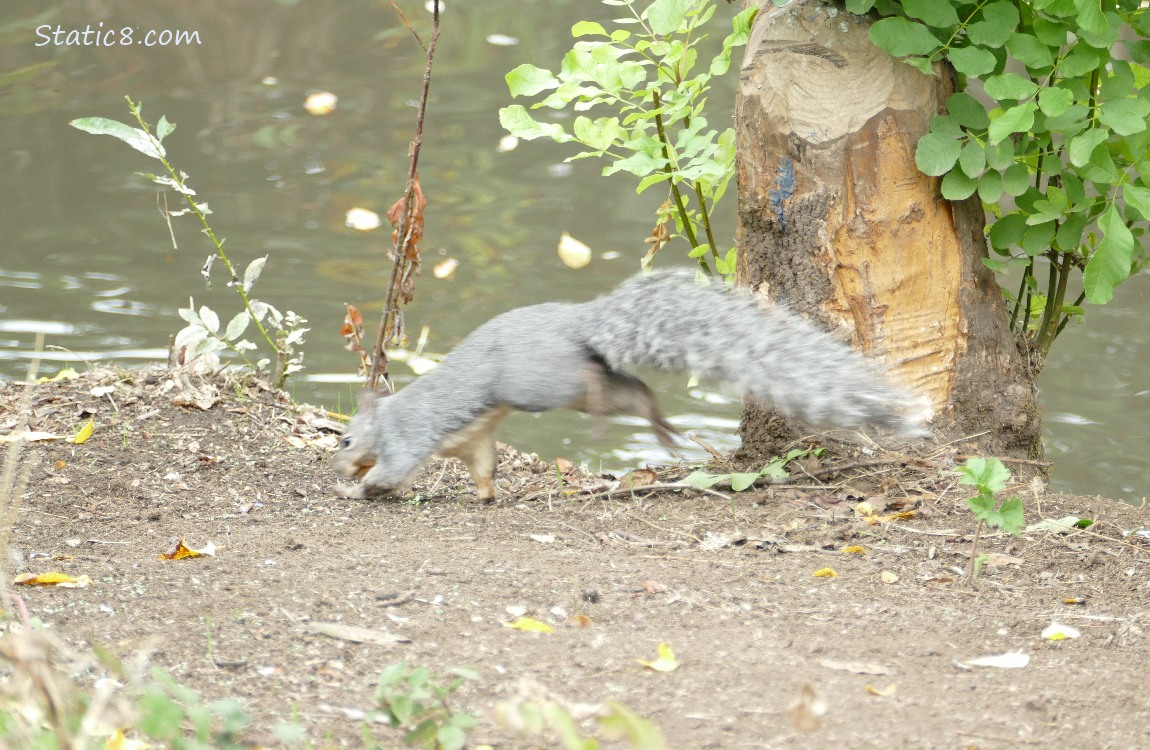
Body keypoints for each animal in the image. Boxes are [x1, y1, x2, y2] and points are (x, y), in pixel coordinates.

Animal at [333, 269, 930, 502]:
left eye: (344, 438)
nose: (338, 464)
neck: (386, 415)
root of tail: (580, 323)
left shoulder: (408, 437)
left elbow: (394, 470)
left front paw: (360, 490)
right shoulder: (475, 440)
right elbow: (483, 468)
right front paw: (484, 496)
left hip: (540, 382)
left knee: (603, 382)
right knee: (633, 388)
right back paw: (659, 426)